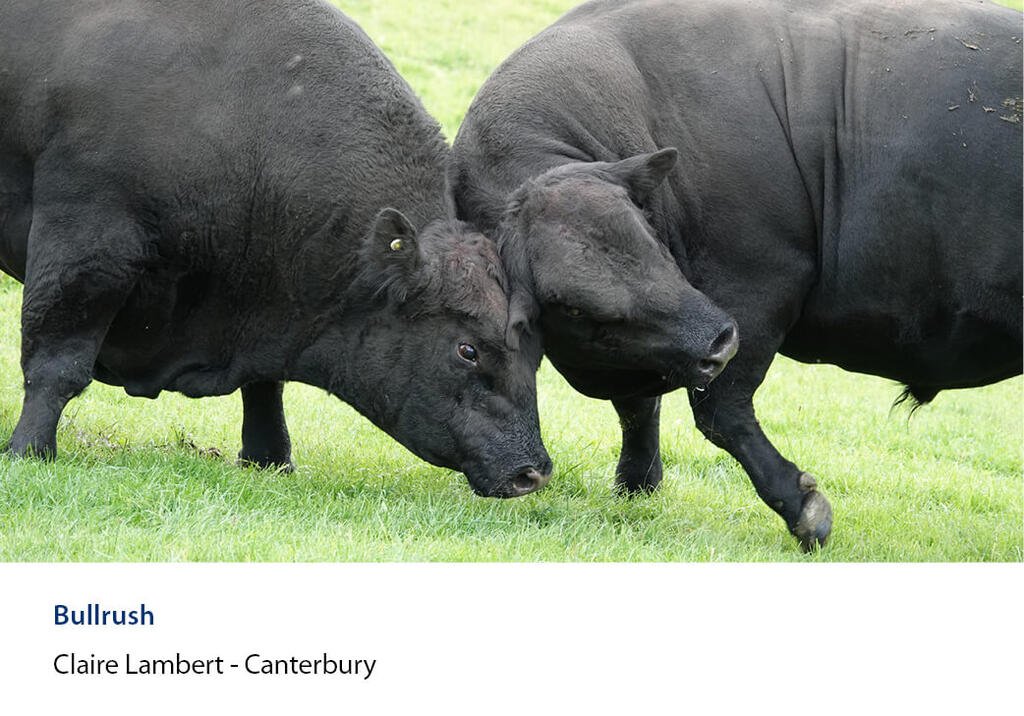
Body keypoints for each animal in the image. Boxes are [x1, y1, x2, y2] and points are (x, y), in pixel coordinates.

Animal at [0, 0, 553, 498]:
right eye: (467, 349)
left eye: (536, 352)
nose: (533, 472)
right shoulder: (85, 241)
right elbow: (57, 363)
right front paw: (29, 451)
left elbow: (266, 385)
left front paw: (269, 457)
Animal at [451, 0, 1023, 548]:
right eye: (571, 306)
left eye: (648, 233)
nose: (720, 340)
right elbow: (637, 406)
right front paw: (636, 484)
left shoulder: (757, 286)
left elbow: (720, 413)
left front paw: (801, 507)